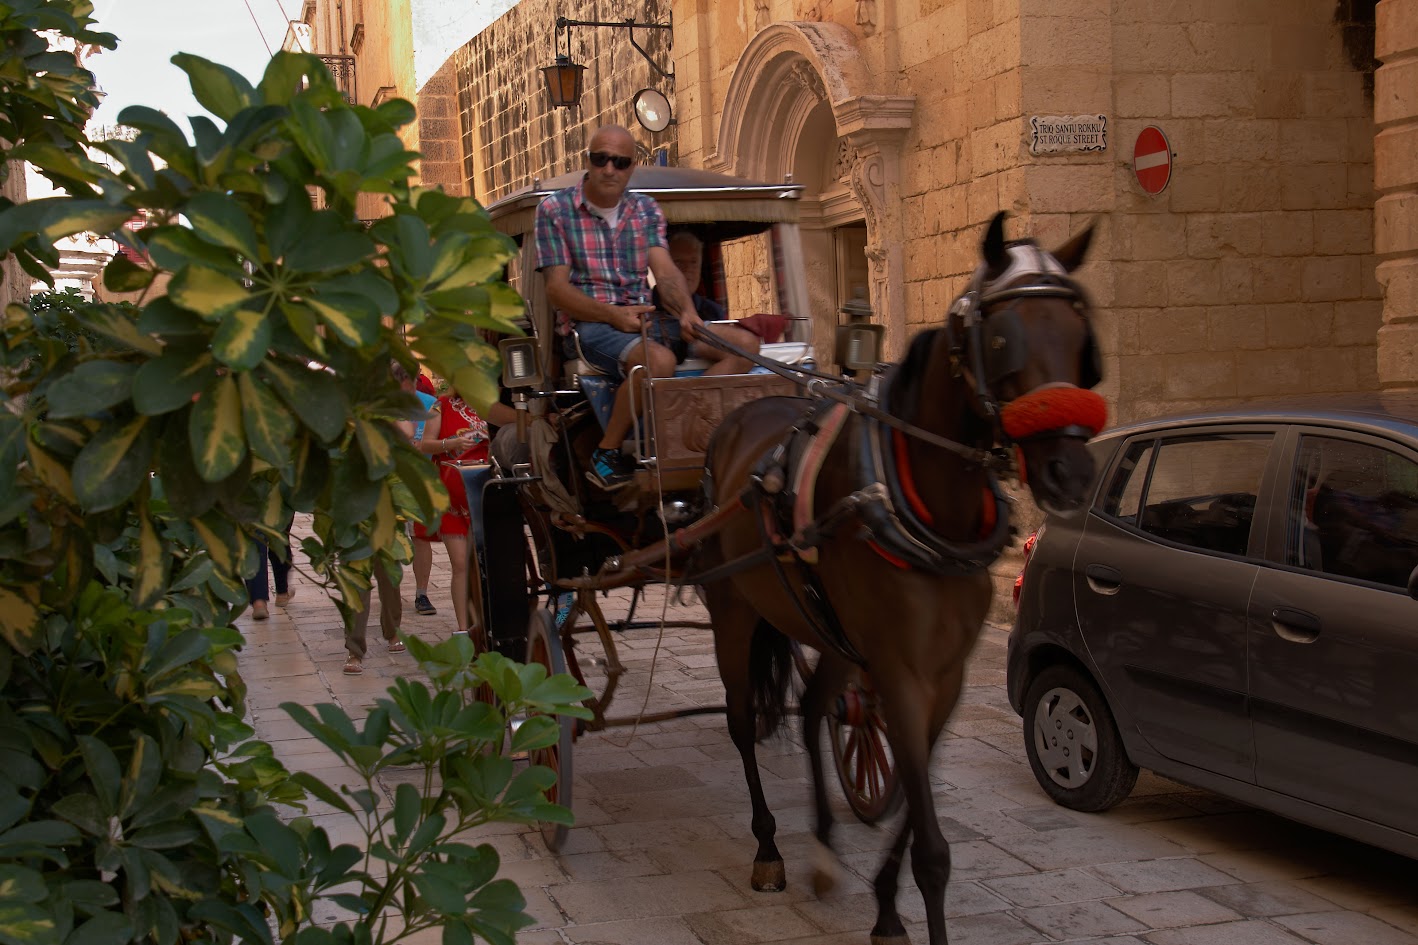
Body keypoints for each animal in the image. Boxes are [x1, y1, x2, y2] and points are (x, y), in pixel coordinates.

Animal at [697, 212, 1106, 942]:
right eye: (1001, 338)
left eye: (1080, 337)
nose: (1071, 475)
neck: (925, 502)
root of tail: (739, 420)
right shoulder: (900, 672)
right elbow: (933, 849)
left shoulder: (944, 676)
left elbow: (913, 816)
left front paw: (886, 907)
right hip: (733, 611)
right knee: (742, 720)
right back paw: (770, 847)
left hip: (831, 632)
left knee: (812, 711)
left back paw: (824, 845)